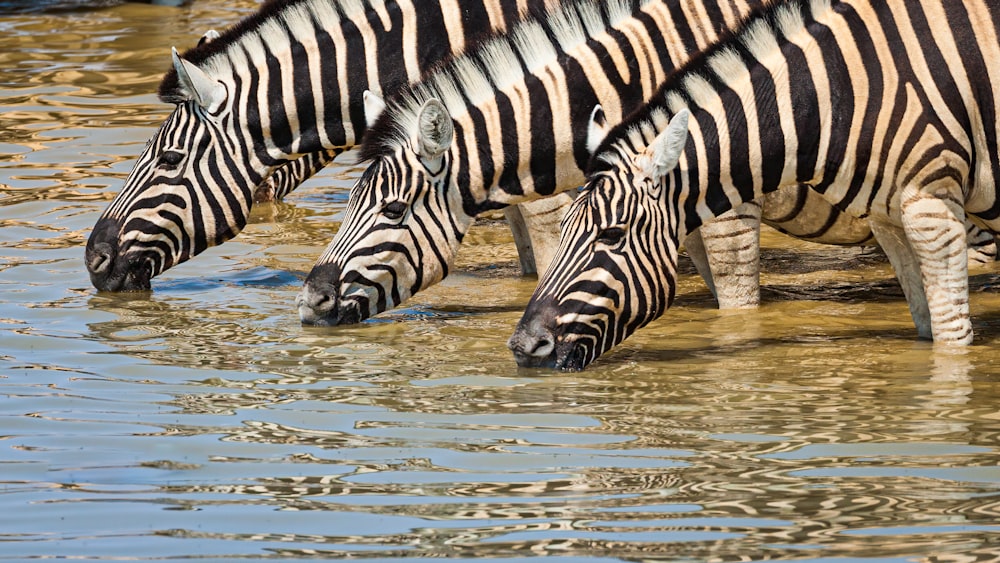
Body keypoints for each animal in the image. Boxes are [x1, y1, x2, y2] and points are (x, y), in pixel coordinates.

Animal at [512, 0, 1000, 370]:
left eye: (612, 235)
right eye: (564, 231)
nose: (522, 347)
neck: (837, 94)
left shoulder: (931, 211)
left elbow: (951, 340)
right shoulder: (889, 219)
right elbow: (927, 325)